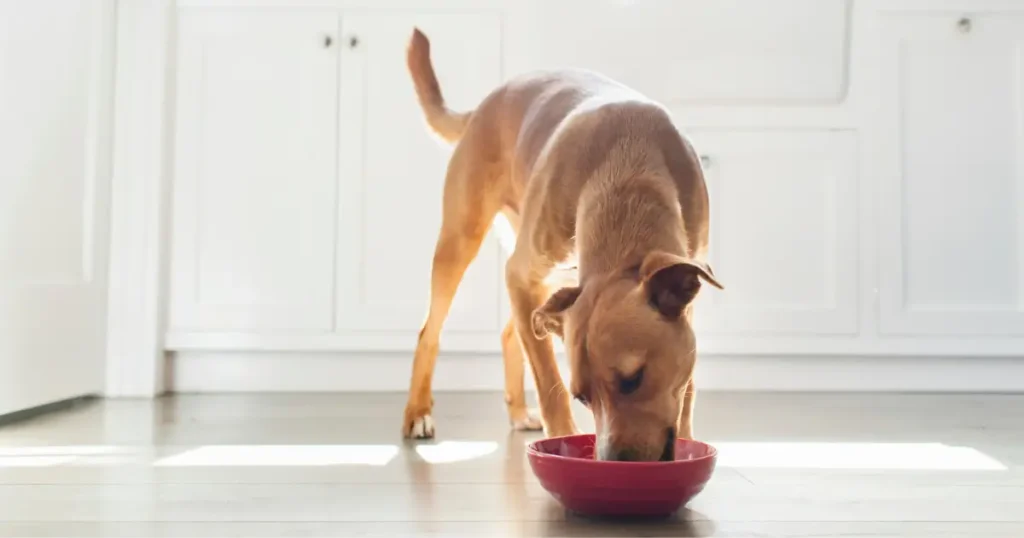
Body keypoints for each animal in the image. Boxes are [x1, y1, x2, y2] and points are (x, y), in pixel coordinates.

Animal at [399, 27, 720, 459]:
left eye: (633, 379)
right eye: (583, 397)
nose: (614, 463)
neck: (628, 173)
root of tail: (483, 106)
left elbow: (686, 386)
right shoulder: (522, 277)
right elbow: (550, 384)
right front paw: (561, 439)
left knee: (510, 334)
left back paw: (518, 412)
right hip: (462, 241)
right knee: (430, 333)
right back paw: (417, 413)